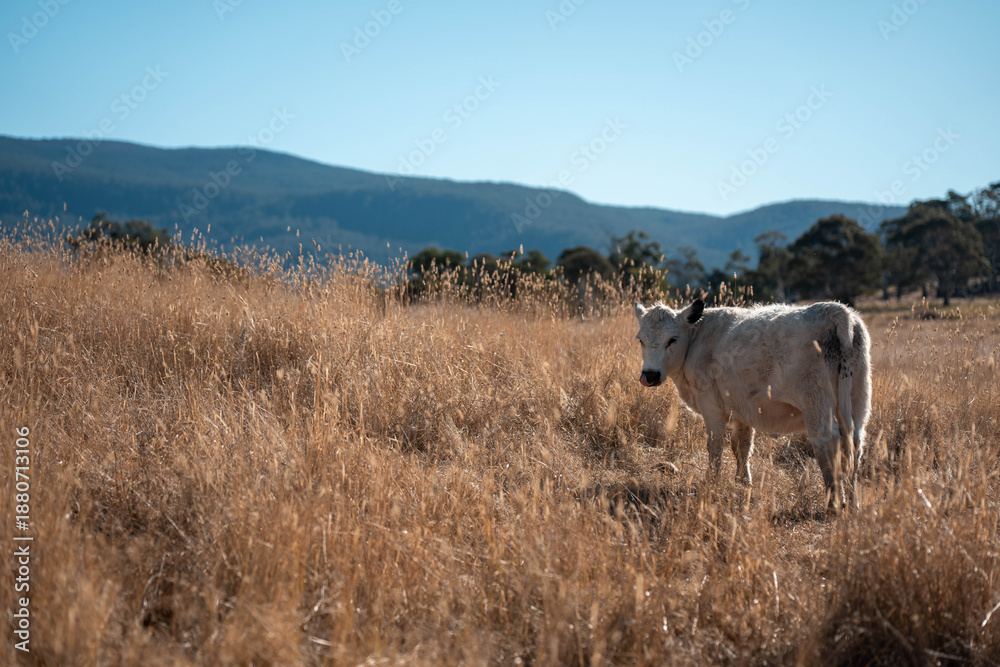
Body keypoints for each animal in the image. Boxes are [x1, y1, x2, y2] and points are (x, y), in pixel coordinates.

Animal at [634, 298, 871, 509]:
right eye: (640, 340)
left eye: (672, 339)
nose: (650, 374)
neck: (697, 338)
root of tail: (835, 310)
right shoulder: (742, 409)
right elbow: (742, 445)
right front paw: (743, 482)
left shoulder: (710, 404)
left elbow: (715, 445)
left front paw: (712, 482)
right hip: (858, 401)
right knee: (855, 444)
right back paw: (853, 503)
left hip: (816, 402)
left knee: (828, 443)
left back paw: (834, 503)